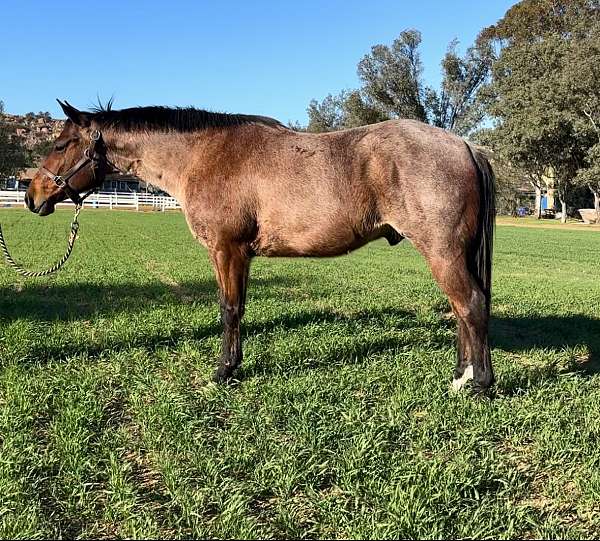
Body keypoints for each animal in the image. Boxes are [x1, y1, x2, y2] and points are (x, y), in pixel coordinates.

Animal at [25, 100, 494, 392]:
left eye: (61, 144)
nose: (32, 196)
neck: (204, 155)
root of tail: (465, 145)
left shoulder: (226, 251)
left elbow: (229, 310)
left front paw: (223, 372)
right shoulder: (241, 256)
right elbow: (239, 309)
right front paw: (233, 366)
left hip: (443, 253)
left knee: (470, 305)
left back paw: (480, 384)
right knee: (463, 310)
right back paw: (461, 375)